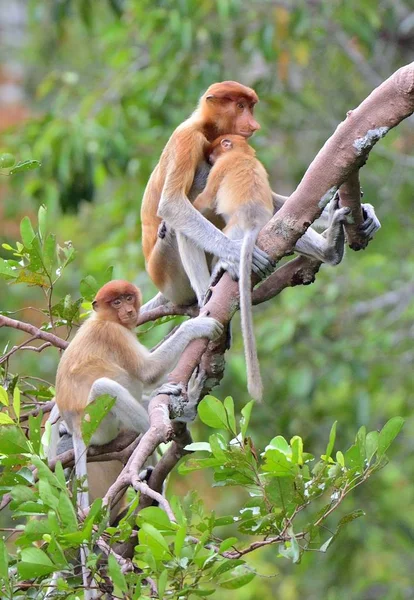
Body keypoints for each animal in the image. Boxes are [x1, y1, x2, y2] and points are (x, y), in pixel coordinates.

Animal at [53, 280, 225, 596]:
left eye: (127, 297)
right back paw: (165, 424)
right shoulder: (115, 335)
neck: (104, 319)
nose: (129, 311)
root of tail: (75, 428)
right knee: (106, 386)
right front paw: (199, 325)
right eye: (116, 302)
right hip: (99, 424)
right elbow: (147, 372)